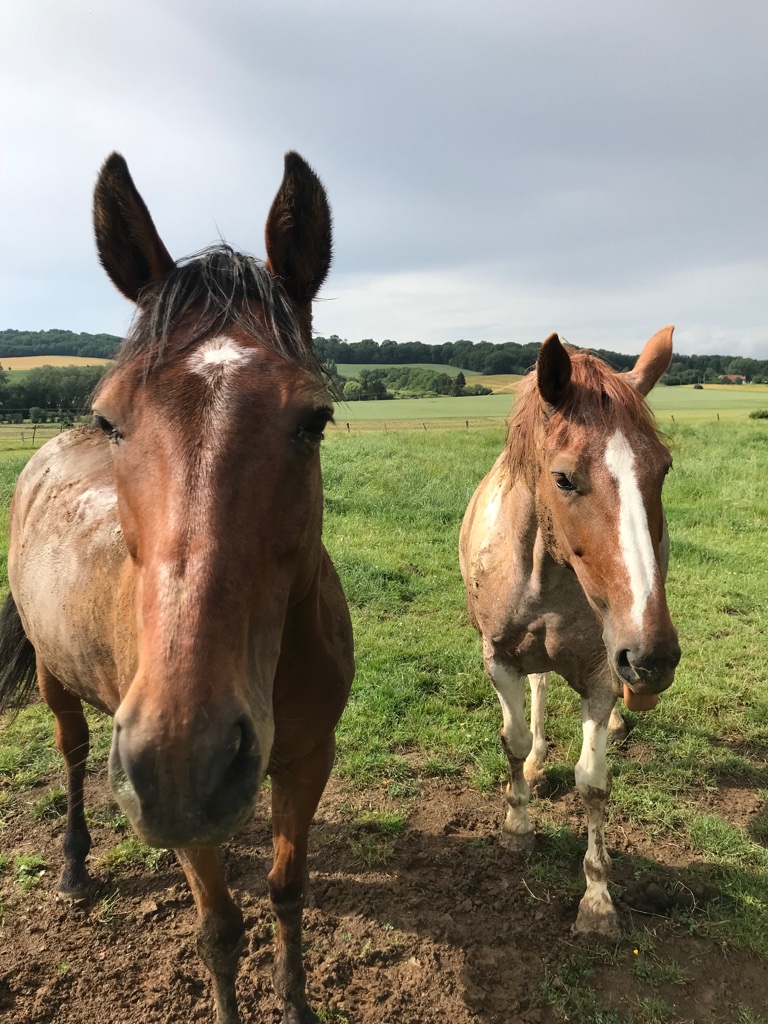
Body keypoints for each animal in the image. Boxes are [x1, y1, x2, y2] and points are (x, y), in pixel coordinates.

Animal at [0, 152, 354, 1024]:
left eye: (315, 420)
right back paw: (74, 866)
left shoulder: (309, 758)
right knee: (71, 754)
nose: (184, 759)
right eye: (113, 420)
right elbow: (220, 930)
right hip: (59, 684)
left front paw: (297, 1002)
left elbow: (288, 891)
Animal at [459, 329, 681, 937]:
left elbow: (593, 782)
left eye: (663, 469)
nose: (654, 658)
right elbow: (511, 740)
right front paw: (517, 826)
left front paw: (598, 898)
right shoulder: (500, 658)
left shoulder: (604, 673)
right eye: (562, 477)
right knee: (537, 690)